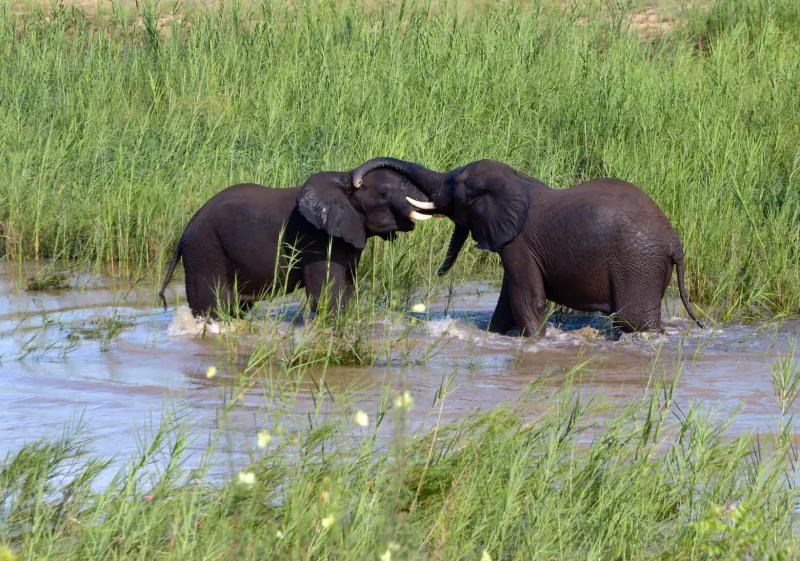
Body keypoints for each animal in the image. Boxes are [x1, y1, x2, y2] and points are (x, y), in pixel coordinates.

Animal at [158, 168, 433, 319]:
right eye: (385, 193)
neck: (343, 179)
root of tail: (184, 232)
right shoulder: (316, 239)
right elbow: (327, 297)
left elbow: (347, 291)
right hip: (204, 249)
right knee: (212, 306)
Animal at [352, 157, 704, 337]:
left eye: (453, 185)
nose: (356, 181)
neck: (516, 180)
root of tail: (675, 242)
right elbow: (507, 300)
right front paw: (494, 334)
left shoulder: (518, 243)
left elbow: (527, 300)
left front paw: (533, 341)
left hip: (638, 260)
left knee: (634, 320)